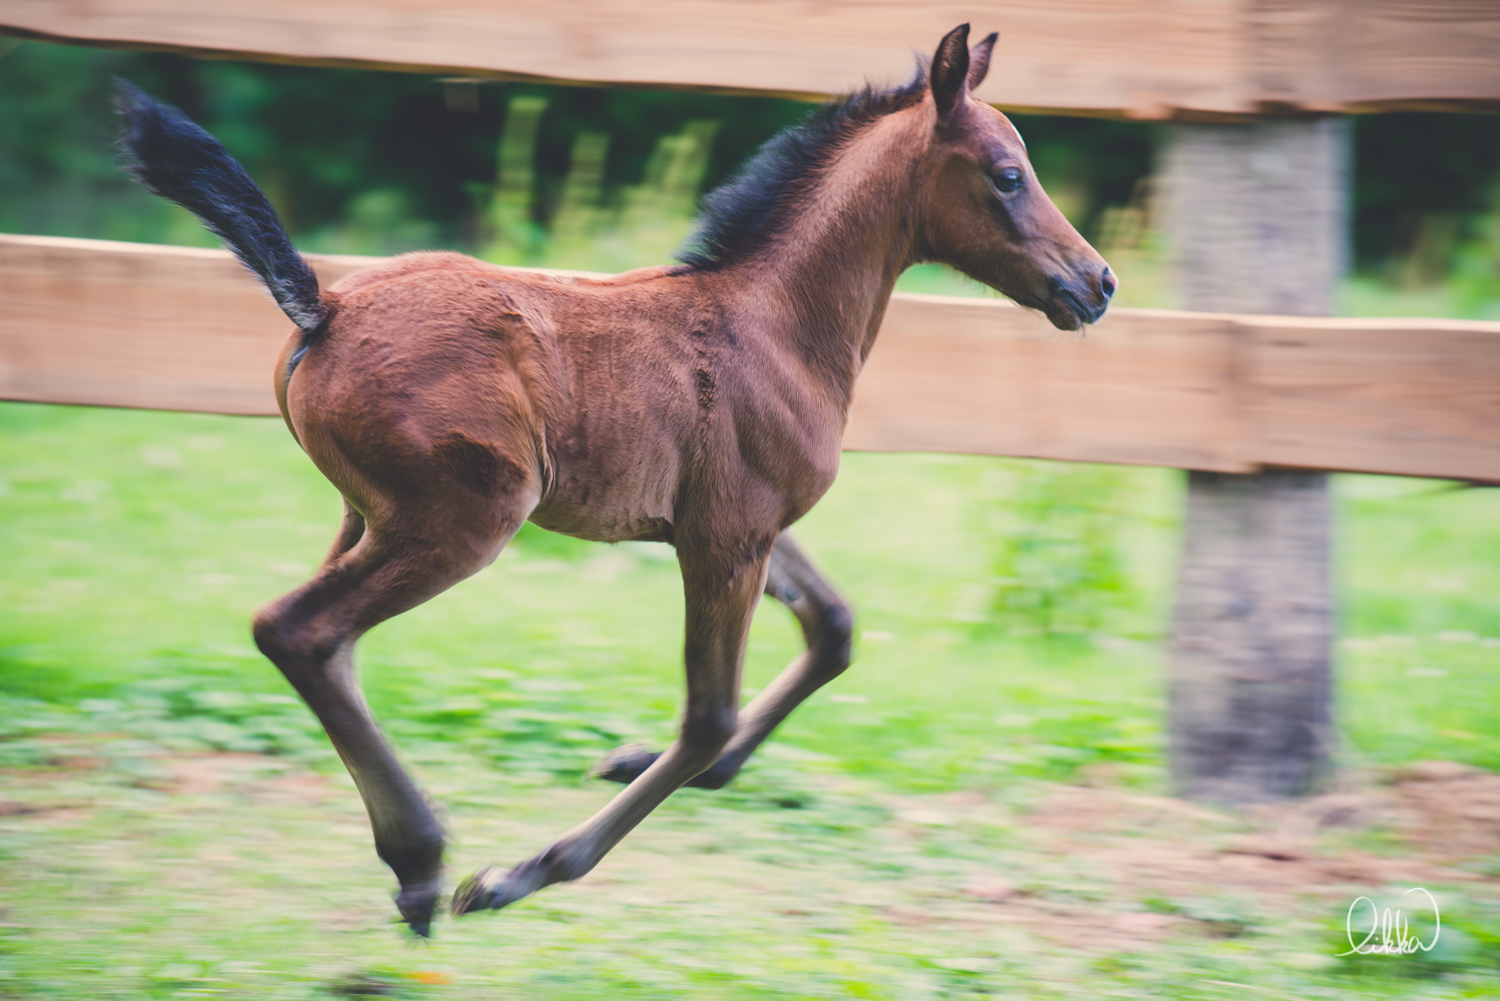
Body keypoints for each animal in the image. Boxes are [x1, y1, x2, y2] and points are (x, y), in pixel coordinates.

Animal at [117, 23, 1116, 942]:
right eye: (1007, 175)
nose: (1099, 282)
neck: (777, 324)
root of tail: (322, 303)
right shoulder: (727, 537)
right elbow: (709, 716)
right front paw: (521, 872)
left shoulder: (741, 524)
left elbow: (831, 630)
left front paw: (634, 758)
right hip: (460, 521)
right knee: (298, 627)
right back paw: (424, 863)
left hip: (369, 516)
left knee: (329, 646)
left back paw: (409, 864)